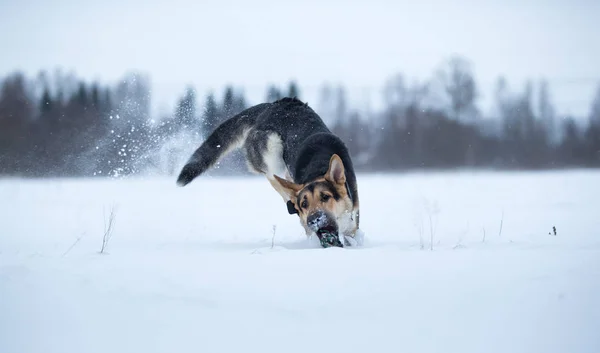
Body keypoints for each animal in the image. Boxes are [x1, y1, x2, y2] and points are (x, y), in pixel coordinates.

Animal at [176, 95, 358, 246]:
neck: (318, 168)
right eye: (304, 204)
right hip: (272, 154)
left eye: (325, 197)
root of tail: (270, 106)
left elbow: (351, 229)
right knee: (277, 180)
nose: (314, 220)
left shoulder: (352, 212)